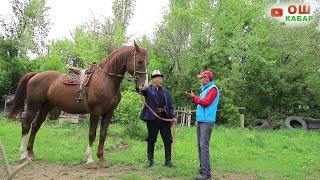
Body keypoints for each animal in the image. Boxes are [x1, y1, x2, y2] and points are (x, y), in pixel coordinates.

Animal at [9, 41, 148, 168]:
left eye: (147, 62)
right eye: (140, 62)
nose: (143, 86)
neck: (106, 80)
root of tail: (35, 75)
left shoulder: (109, 113)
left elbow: (103, 134)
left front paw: (101, 158)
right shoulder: (95, 112)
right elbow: (92, 134)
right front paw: (90, 160)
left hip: (45, 108)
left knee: (35, 126)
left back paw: (31, 153)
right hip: (33, 107)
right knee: (26, 126)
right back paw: (23, 155)